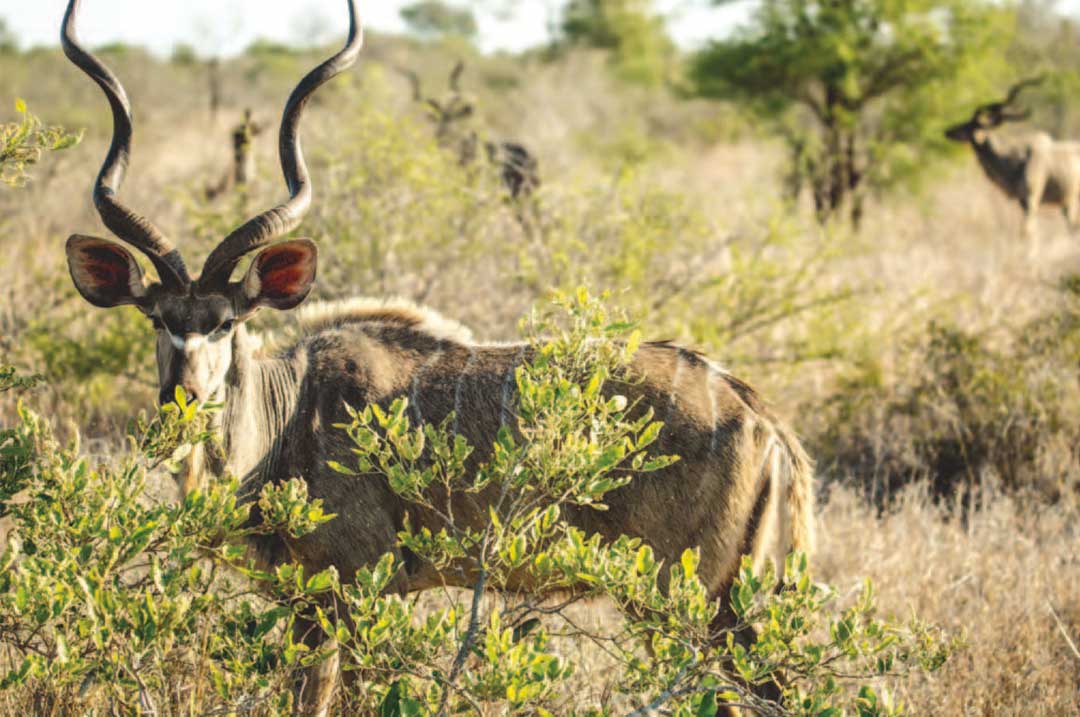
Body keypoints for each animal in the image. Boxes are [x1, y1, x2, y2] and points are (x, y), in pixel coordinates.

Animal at [61, 2, 812, 712]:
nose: (181, 401)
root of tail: (762, 419)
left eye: (224, 323)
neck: (287, 415)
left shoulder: (346, 590)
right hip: (730, 605)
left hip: (684, 602)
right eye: (158, 317)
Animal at [946, 77, 1080, 240]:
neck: (1016, 160)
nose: (947, 131)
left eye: (968, 125)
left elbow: (1027, 232)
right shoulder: (1024, 202)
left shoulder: (1031, 200)